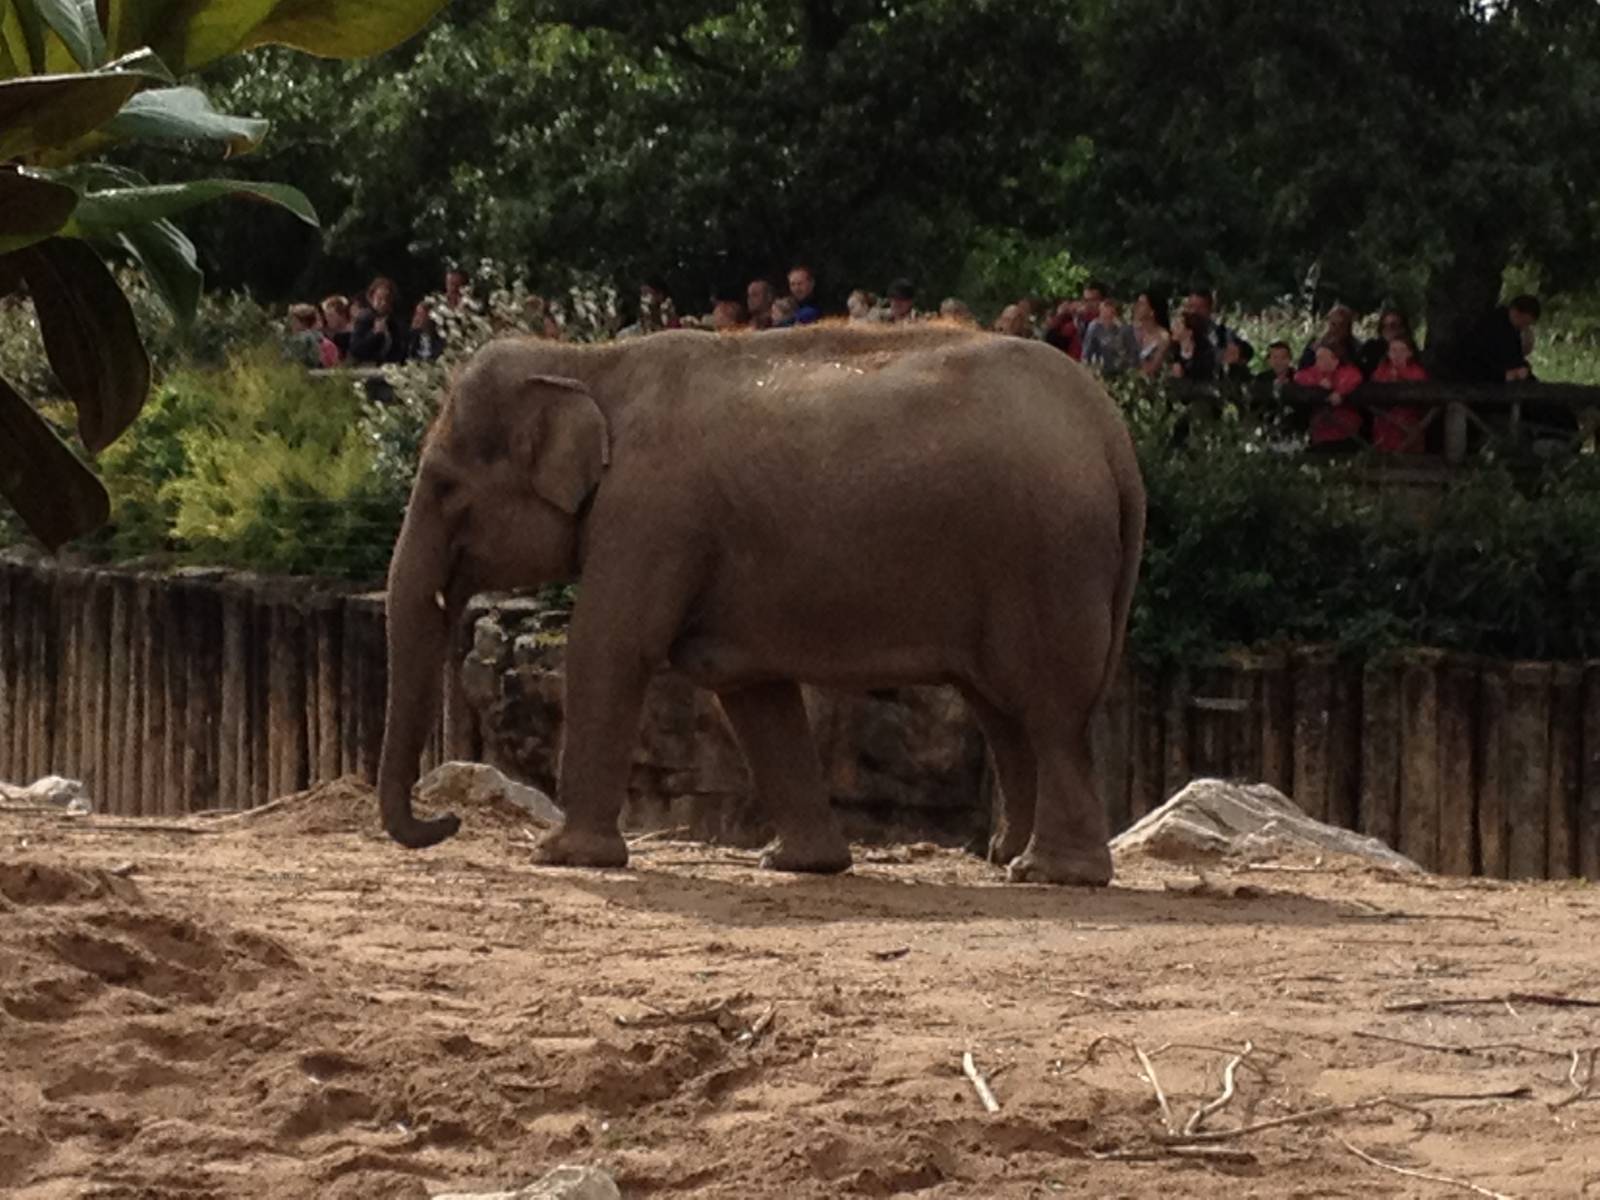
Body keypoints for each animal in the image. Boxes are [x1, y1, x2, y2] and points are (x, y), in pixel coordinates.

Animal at [377, 322, 1145, 886]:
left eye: (444, 486)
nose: (446, 826)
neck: (589, 363)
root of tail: (1113, 433)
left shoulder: (651, 515)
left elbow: (610, 645)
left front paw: (563, 857)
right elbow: (747, 686)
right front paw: (801, 865)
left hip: (1047, 560)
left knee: (1047, 709)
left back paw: (1051, 873)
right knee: (1002, 710)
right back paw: (1002, 858)